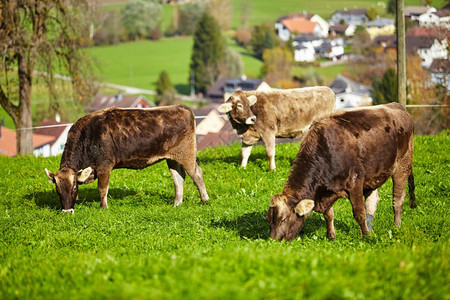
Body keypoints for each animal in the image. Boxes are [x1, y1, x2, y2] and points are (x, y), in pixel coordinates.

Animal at [44, 104, 210, 212]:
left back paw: (205, 200)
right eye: (57, 190)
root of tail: (182, 107)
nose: (67, 211)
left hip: (186, 154)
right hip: (172, 158)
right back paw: (177, 203)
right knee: (178, 178)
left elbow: (102, 189)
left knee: (196, 174)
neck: (88, 136)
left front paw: (103, 208)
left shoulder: (104, 166)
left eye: (74, 187)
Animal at [266, 103, 416, 241]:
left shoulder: (355, 183)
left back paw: (396, 227)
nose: (273, 241)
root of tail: (397, 106)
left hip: (403, 164)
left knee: (398, 199)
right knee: (372, 203)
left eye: (283, 219)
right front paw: (331, 236)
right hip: (372, 176)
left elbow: (359, 213)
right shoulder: (325, 191)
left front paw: (366, 236)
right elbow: (329, 214)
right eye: (269, 220)